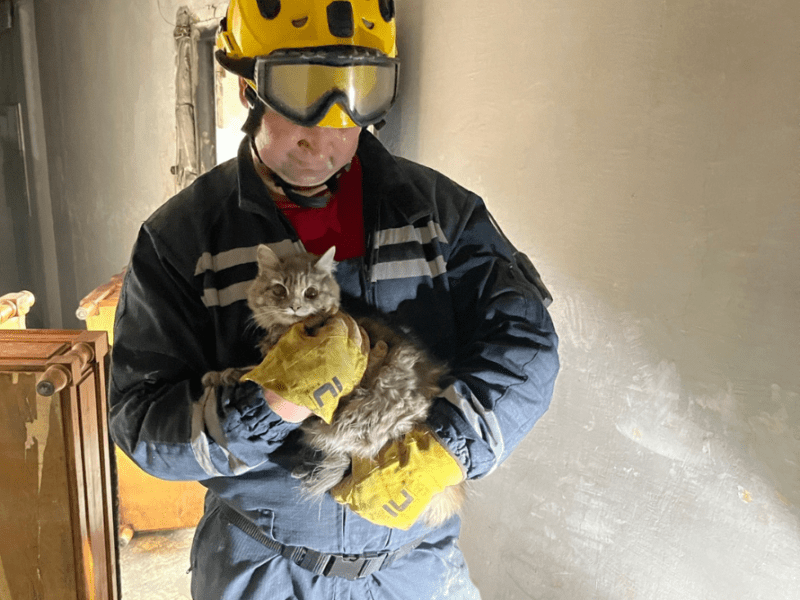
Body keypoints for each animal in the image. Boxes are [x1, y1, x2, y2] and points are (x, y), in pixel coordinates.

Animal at [203, 244, 466, 524]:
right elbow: (252, 368)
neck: (289, 330)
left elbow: (251, 371)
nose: (295, 307)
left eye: (311, 293)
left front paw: (221, 375)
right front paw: (219, 375)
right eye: (279, 290)